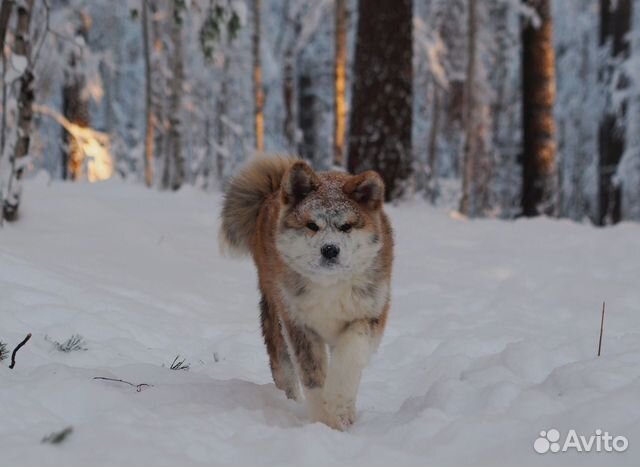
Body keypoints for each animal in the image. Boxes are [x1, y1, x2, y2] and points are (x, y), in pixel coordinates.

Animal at [221, 157, 396, 432]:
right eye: (312, 225)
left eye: (346, 226)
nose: (330, 250)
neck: (330, 286)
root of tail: (274, 190)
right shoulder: (298, 323)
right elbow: (312, 375)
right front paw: (323, 420)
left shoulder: (369, 313)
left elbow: (349, 358)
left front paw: (338, 406)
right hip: (273, 315)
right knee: (283, 368)